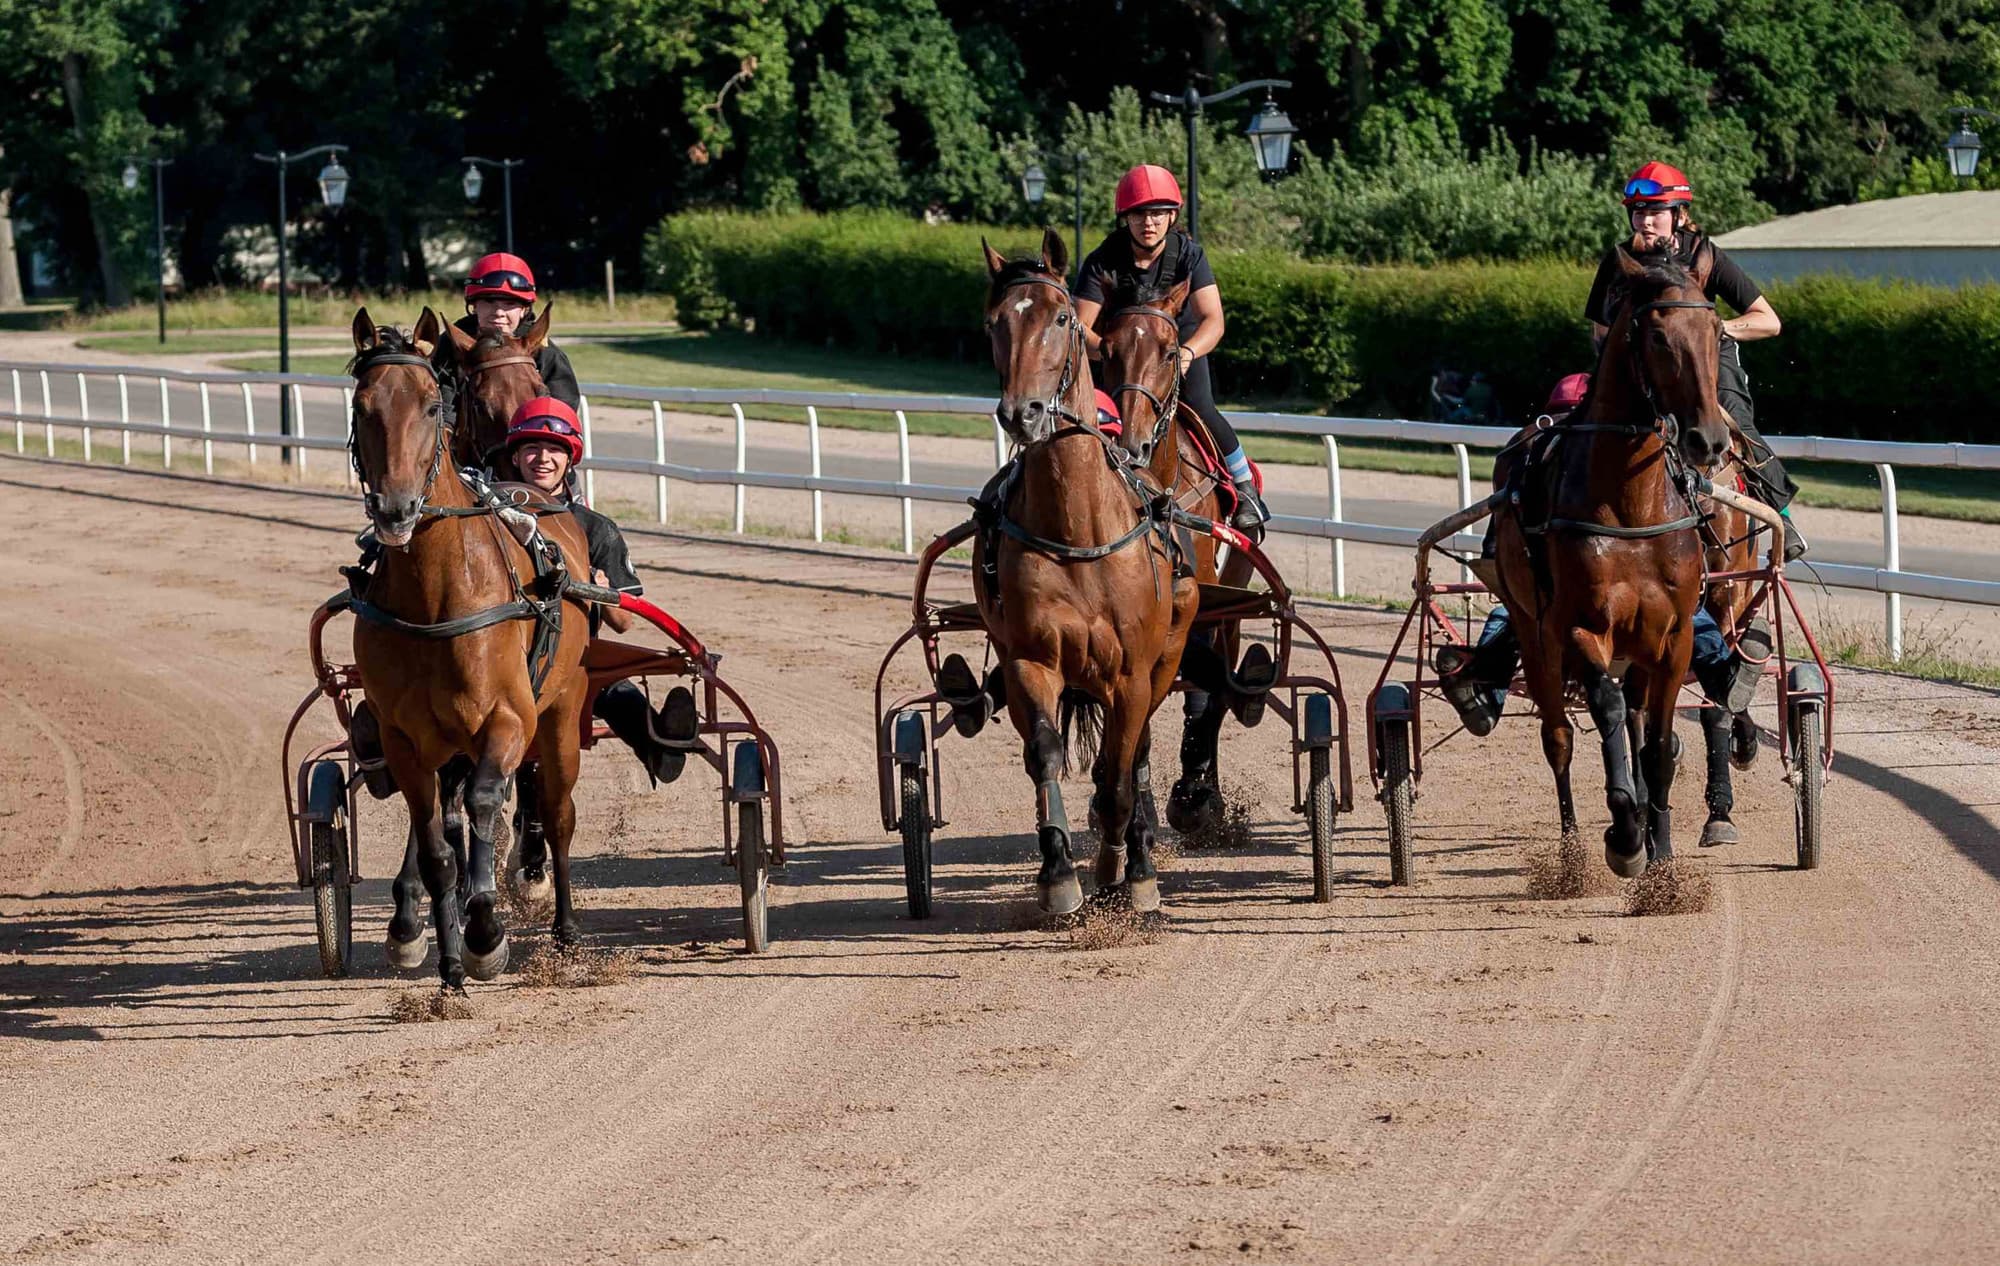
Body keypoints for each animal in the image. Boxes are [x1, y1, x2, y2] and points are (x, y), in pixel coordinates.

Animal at [348, 306, 592, 988]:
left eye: (433, 405)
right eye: (362, 405)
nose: (396, 508)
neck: (436, 594)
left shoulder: (508, 717)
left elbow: (487, 800)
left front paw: (485, 931)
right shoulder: (404, 738)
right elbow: (433, 840)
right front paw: (444, 955)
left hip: (562, 709)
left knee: (556, 811)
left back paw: (562, 925)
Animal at [976, 232, 1192, 912]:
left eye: (1061, 319)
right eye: (994, 322)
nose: (1022, 413)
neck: (1077, 530)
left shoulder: (1133, 673)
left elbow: (1120, 774)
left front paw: (1124, 870)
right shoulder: (1030, 659)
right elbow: (1045, 755)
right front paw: (1060, 875)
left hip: (1165, 658)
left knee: (1135, 757)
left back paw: (1135, 857)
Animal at [1096, 278, 1264, 828]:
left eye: (1170, 352)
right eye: (1107, 350)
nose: (1132, 441)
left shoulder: (1203, 602)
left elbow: (1203, 694)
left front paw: (1193, 792)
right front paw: (1133, 796)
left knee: (1214, 685)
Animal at [1496, 247, 1744, 880]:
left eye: (1717, 332)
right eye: (1656, 335)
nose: (1709, 440)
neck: (1631, 510)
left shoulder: (1674, 635)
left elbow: (1656, 746)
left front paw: (1661, 855)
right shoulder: (1580, 627)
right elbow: (1602, 710)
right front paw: (1624, 837)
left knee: (1635, 721)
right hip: (1534, 630)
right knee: (1559, 735)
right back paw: (1571, 853)